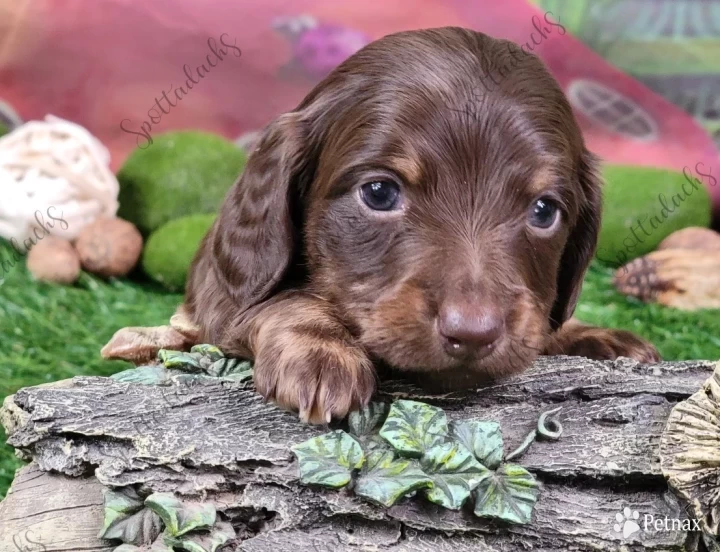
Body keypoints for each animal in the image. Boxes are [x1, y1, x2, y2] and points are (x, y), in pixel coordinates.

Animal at [184, 27, 660, 422]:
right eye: (379, 193)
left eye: (544, 211)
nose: (472, 335)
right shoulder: (218, 295)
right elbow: (278, 302)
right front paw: (321, 350)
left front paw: (594, 336)